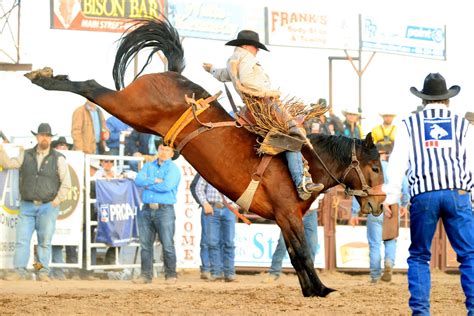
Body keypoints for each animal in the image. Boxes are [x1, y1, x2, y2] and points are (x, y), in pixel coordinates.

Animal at [25, 18, 386, 298]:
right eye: (375, 167)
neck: (306, 163)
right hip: (129, 107)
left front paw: (312, 290)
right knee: (90, 86)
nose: (380, 204)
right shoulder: (288, 214)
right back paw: (43, 77)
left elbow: (295, 256)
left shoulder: (285, 219)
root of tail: (172, 74)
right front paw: (322, 289)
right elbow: (304, 253)